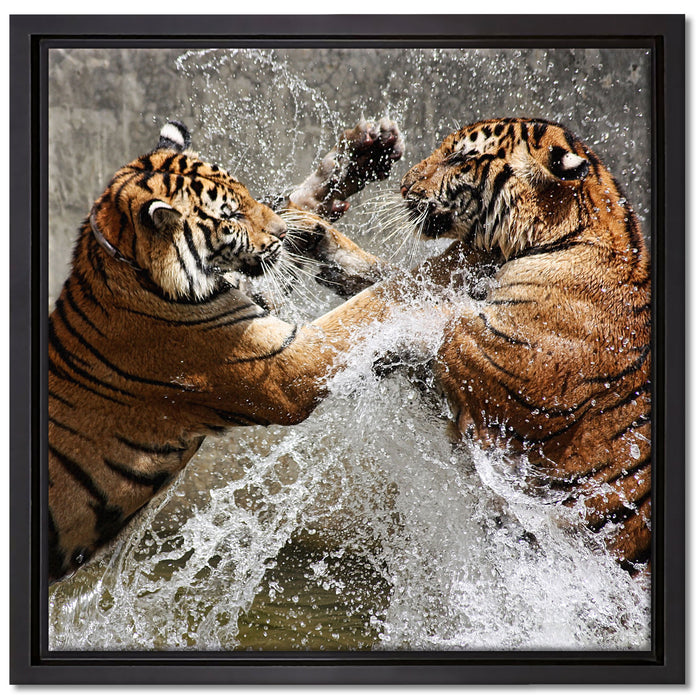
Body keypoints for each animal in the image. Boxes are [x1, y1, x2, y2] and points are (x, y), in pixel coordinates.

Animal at [48, 118, 415, 583]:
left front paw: (363, 154)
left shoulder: (253, 296)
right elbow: (368, 306)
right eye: (233, 216)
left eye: (247, 196)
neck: (135, 268)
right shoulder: (284, 368)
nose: (279, 231)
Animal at [293, 118, 651, 572]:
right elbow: (400, 281)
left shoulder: (503, 365)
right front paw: (314, 234)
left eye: (459, 158)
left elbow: (418, 310)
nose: (404, 186)